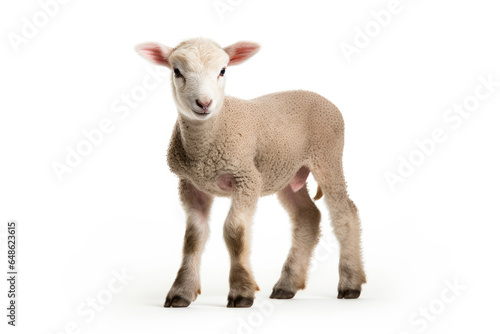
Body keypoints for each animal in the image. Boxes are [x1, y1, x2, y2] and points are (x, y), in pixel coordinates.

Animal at [135, 38, 366, 308]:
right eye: (176, 71)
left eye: (223, 70)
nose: (204, 103)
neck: (206, 144)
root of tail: (319, 96)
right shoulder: (190, 184)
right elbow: (193, 237)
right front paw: (181, 291)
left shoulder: (246, 178)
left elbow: (234, 231)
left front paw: (241, 291)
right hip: (286, 171)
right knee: (307, 217)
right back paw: (287, 285)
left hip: (327, 157)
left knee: (344, 213)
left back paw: (350, 284)